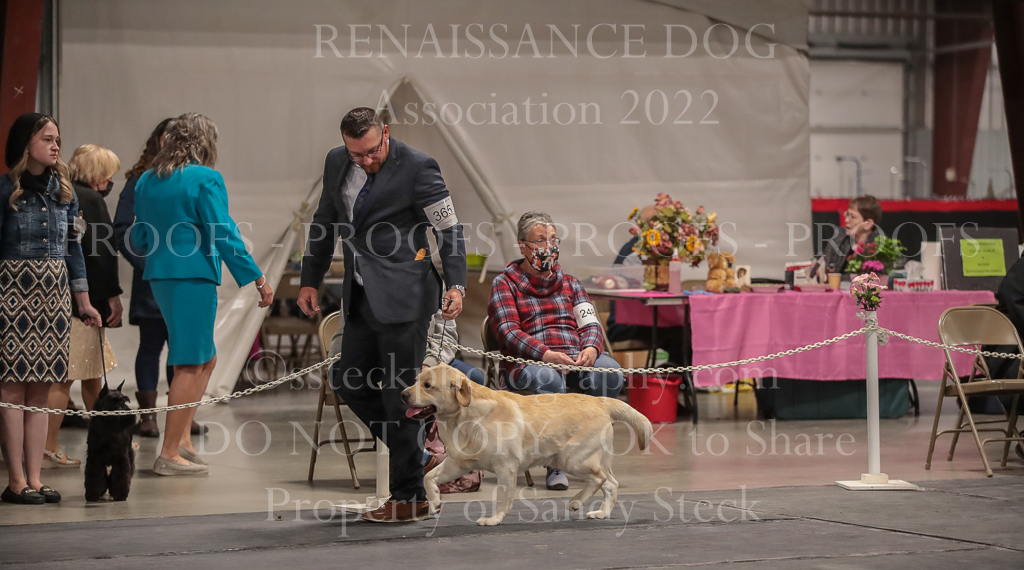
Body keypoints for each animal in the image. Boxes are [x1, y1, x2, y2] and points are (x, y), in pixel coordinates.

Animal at [403, 364, 652, 526]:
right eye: (416, 381)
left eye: (428, 385)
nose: (403, 394)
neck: (464, 418)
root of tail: (601, 401)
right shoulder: (458, 464)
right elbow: (428, 477)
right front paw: (435, 501)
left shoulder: (506, 467)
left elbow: (503, 498)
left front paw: (493, 519)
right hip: (591, 460)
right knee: (611, 484)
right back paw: (600, 513)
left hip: (572, 459)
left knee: (600, 480)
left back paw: (575, 502)